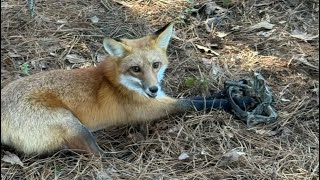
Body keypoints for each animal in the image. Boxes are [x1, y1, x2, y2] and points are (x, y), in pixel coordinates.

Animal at [0, 22, 250, 155]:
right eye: (136, 69)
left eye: (156, 65)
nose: (153, 89)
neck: (117, 82)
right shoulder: (152, 109)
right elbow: (193, 103)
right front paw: (236, 103)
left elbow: (201, 97)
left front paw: (232, 94)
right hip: (74, 125)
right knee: (96, 156)